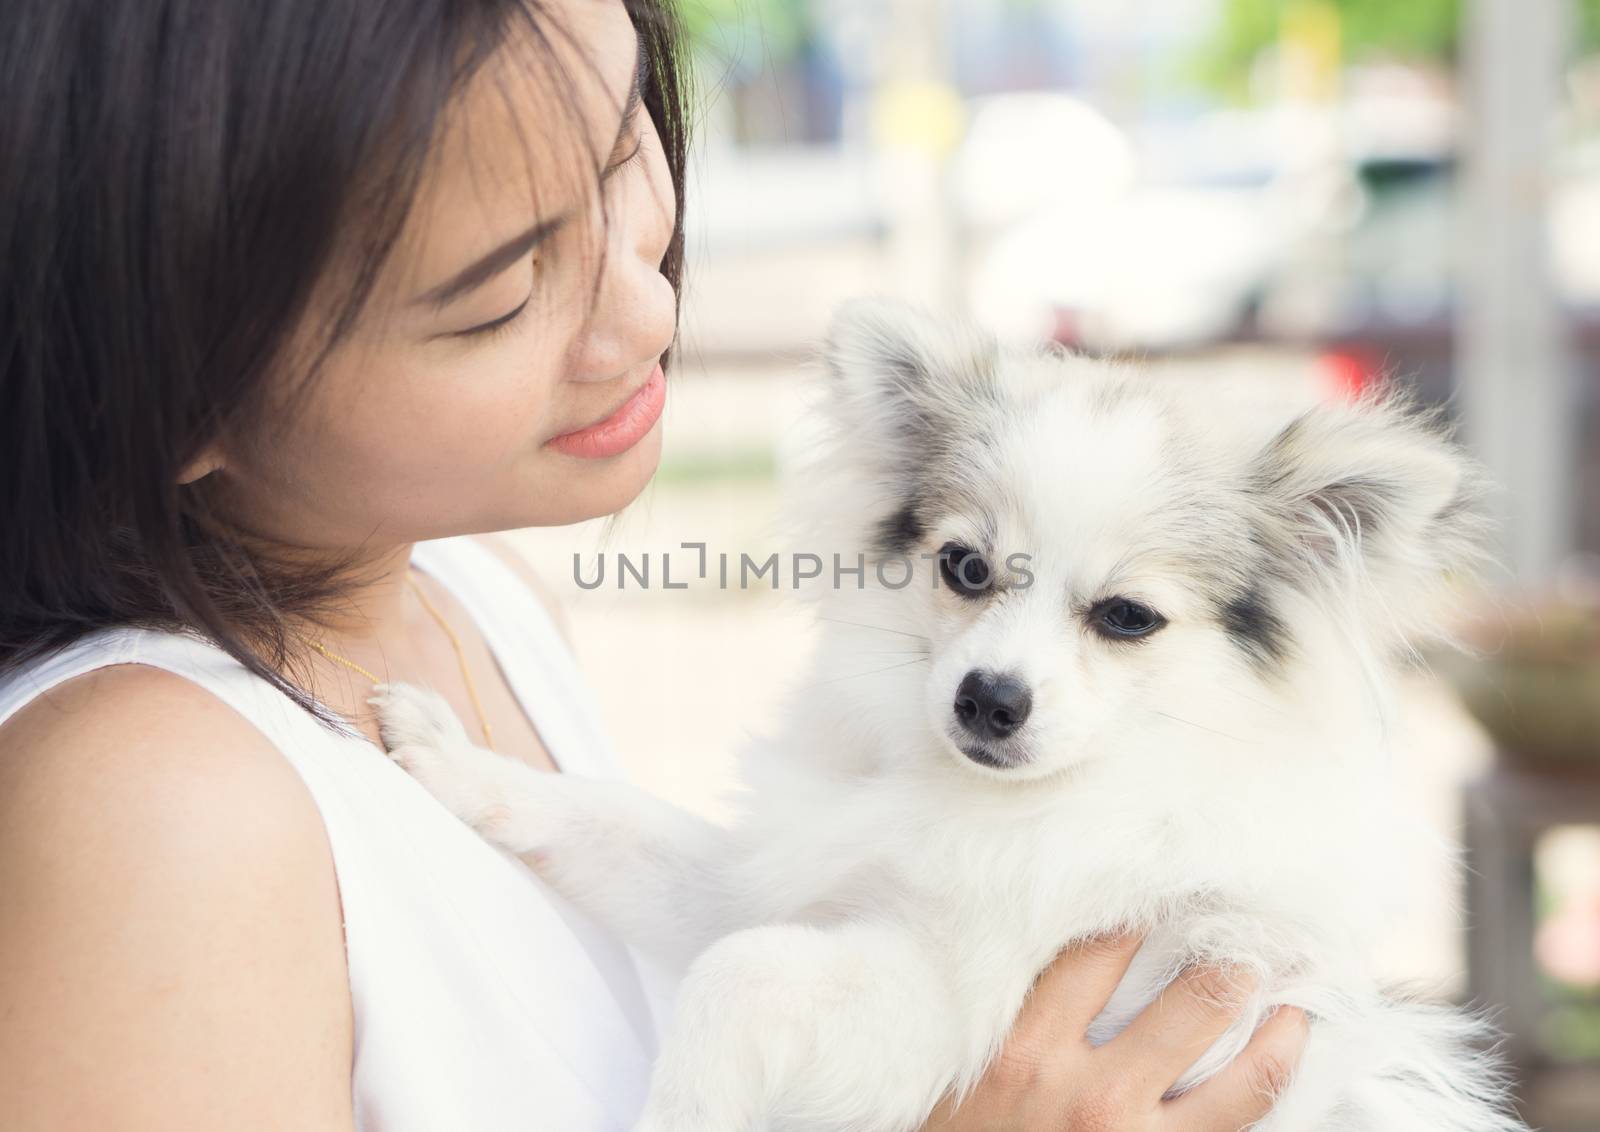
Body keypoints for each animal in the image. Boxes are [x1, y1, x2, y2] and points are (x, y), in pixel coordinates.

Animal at [374, 295, 1523, 1125]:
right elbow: (614, 826)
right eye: (964, 568)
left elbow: (736, 972)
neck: (1008, 803)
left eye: (1126, 618)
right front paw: (453, 756)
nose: (989, 697)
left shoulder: (951, 1007)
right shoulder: (780, 883)